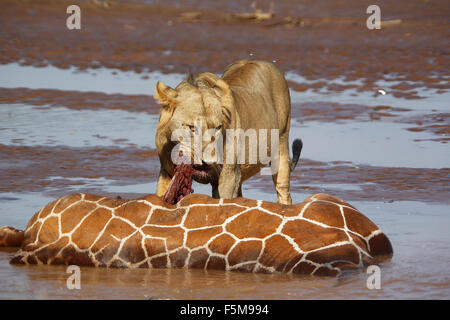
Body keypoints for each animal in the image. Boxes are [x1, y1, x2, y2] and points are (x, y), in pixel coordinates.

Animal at [154, 60, 302, 205]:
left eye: (218, 127)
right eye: (192, 127)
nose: (209, 162)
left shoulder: (228, 176)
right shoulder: (166, 172)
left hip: (281, 145)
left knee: (283, 192)